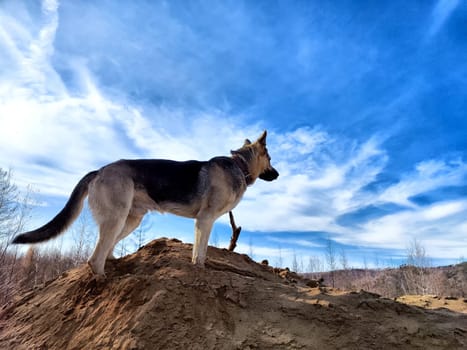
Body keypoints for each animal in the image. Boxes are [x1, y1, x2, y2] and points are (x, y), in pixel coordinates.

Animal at [12, 131, 280, 276]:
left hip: (130, 220)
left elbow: (202, 251)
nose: (277, 175)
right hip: (117, 217)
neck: (239, 166)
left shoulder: (205, 222)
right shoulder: (204, 220)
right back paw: (102, 279)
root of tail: (99, 170)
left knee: (106, 250)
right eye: (270, 158)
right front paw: (199, 269)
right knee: (94, 259)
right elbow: (199, 253)